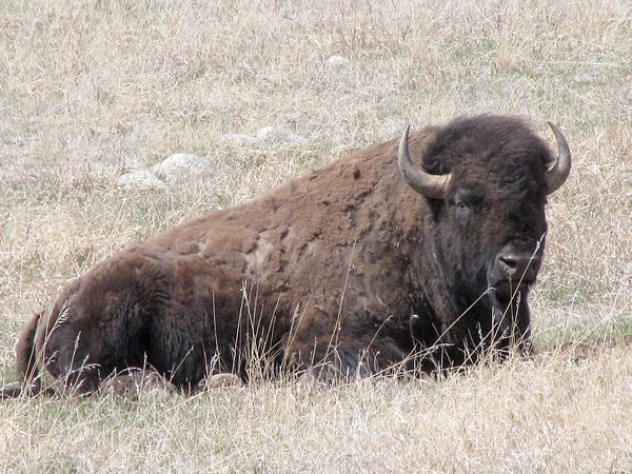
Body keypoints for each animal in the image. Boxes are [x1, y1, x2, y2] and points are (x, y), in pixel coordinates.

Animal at [1, 115, 572, 396]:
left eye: (538, 197)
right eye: (464, 200)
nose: (518, 261)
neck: (414, 230)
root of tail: (51, 306)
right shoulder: (323, 345)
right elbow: (396, 364)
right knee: (89, 381)